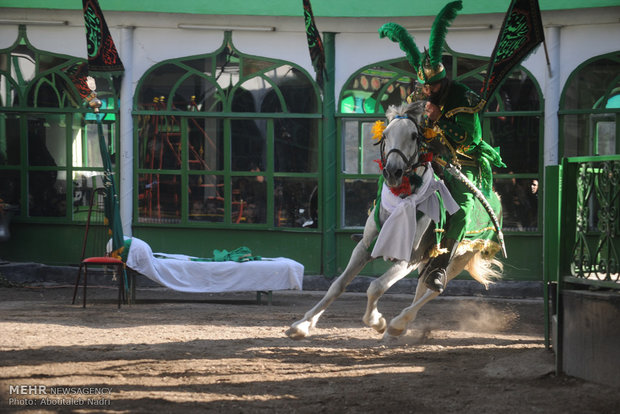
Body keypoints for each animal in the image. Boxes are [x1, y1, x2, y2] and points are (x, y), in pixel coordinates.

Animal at [286, 101, 504, 340]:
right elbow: (338, 285)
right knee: (422, 287)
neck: (403, 200)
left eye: (413, 136)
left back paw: (397, 324)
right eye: (386, 135)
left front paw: (377, 321)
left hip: (460, 257)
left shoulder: (409, 259)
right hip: (429, 258)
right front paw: (302, 325)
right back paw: (398, 328)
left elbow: (376, 287)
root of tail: (496, 197)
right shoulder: (364, 248)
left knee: (433, 289)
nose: (392, 172)